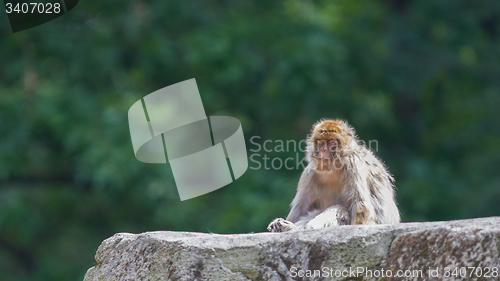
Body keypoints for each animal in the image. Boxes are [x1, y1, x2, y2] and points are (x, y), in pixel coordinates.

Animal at [268, 118, 400, 232]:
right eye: (321, 142)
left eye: (332, 141)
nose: (323, 150)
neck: (334, 169)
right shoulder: (309, 174)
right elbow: (300, 211)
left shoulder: (353, 163)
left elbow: (361, 208)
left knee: (340, 209)